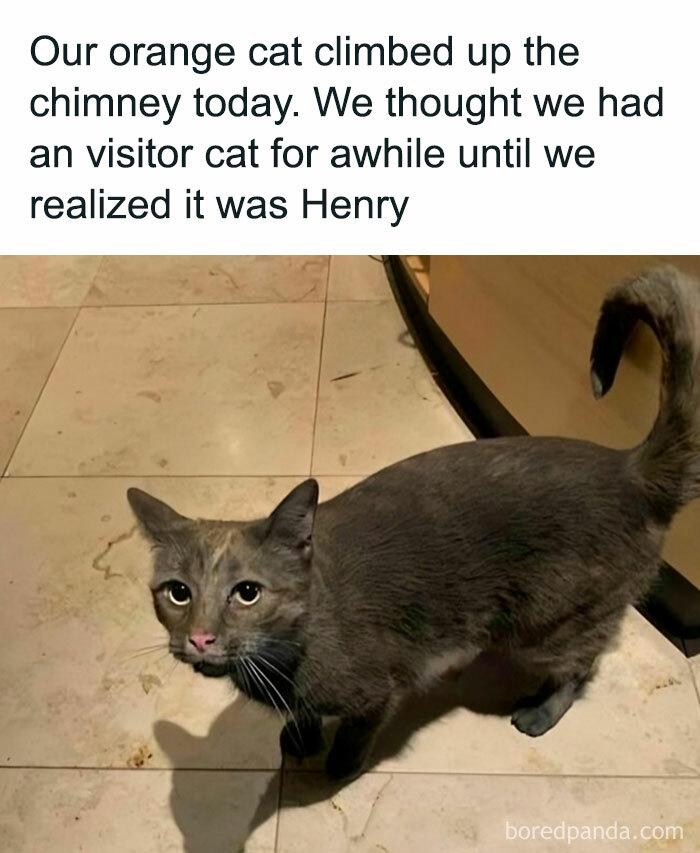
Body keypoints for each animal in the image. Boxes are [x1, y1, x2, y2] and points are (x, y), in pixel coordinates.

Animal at [127, 266, 700, 781]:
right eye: (177, 592)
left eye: (247, 593)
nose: (201, 637)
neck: (286, 657)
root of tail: (627, 467)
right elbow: (305, 713)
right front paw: (300, 738)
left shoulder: (379, 689)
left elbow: (357, 729)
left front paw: (338, 766)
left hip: (548, 622)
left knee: (583, 663)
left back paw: (540, 711)